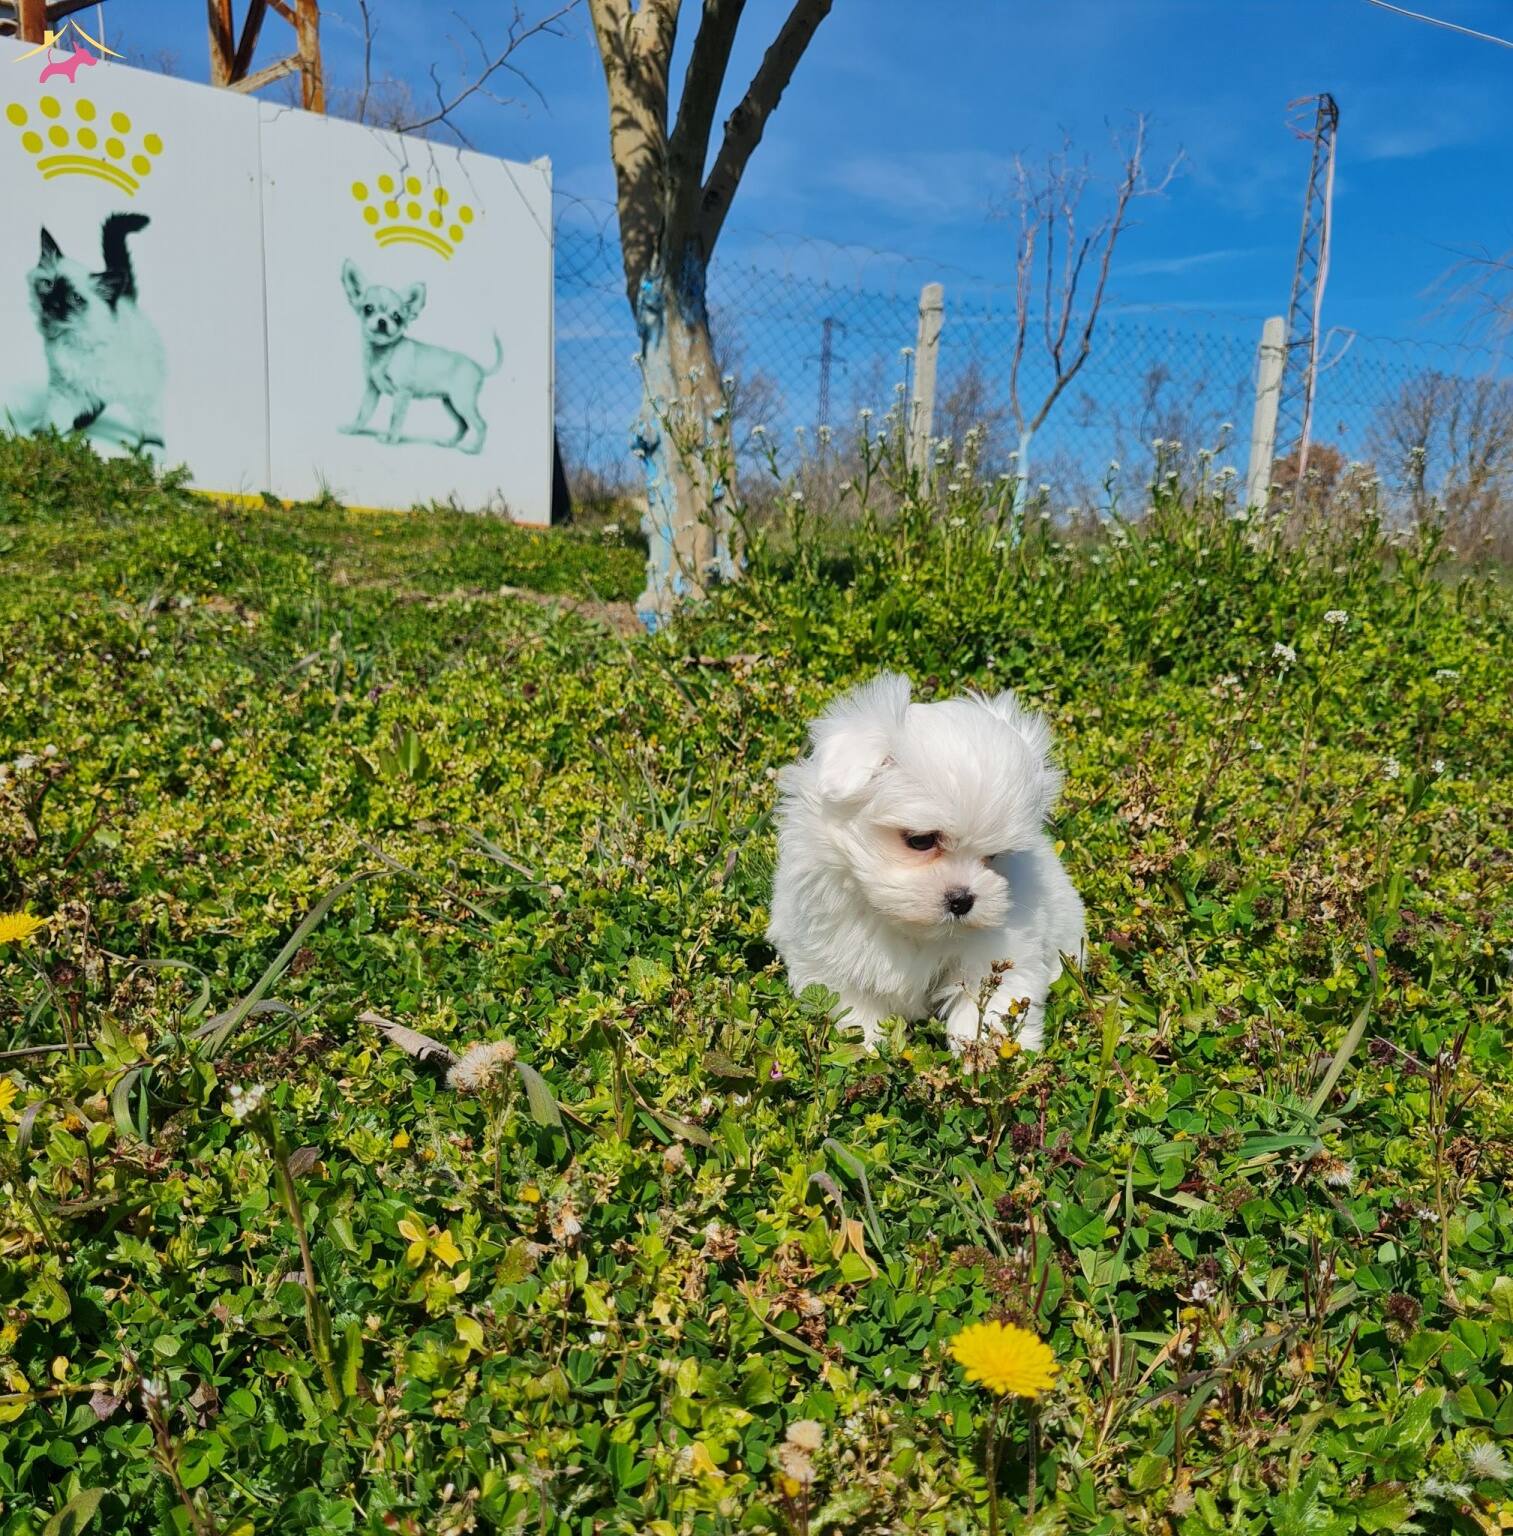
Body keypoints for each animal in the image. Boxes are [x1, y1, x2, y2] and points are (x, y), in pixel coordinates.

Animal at [28, 213, 165, 450]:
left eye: (75, 298)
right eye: (49, 284)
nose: (53, 304)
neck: (73, 339)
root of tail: (126, 301)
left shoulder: (139, 394)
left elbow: (152, 428)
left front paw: (151, 452)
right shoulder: (63, 387)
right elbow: (55, 417)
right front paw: (45, 440)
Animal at [339, 259, 501, 454]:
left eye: (397, 317)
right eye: (368, 309)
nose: (382, 321)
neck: (383, 353)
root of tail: (479, 367)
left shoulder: (402, 394)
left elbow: (395, 418)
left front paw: (391, 439)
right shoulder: (372, 390)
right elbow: (363, 412)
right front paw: (353, 429)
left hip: (462, 402)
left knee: (481, 424)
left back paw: (474, 449)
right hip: (450, 403)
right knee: (464, 425)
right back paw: (449, 443)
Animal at [767, 673, 1084, 1056]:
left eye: (993, 856)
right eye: (920, 840)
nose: (962, 900)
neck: (907, 925)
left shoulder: (1000, 949)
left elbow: (992, 999)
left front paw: (989, 1055)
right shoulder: (827, 953)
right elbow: (854, 1006)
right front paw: (869, 1048)